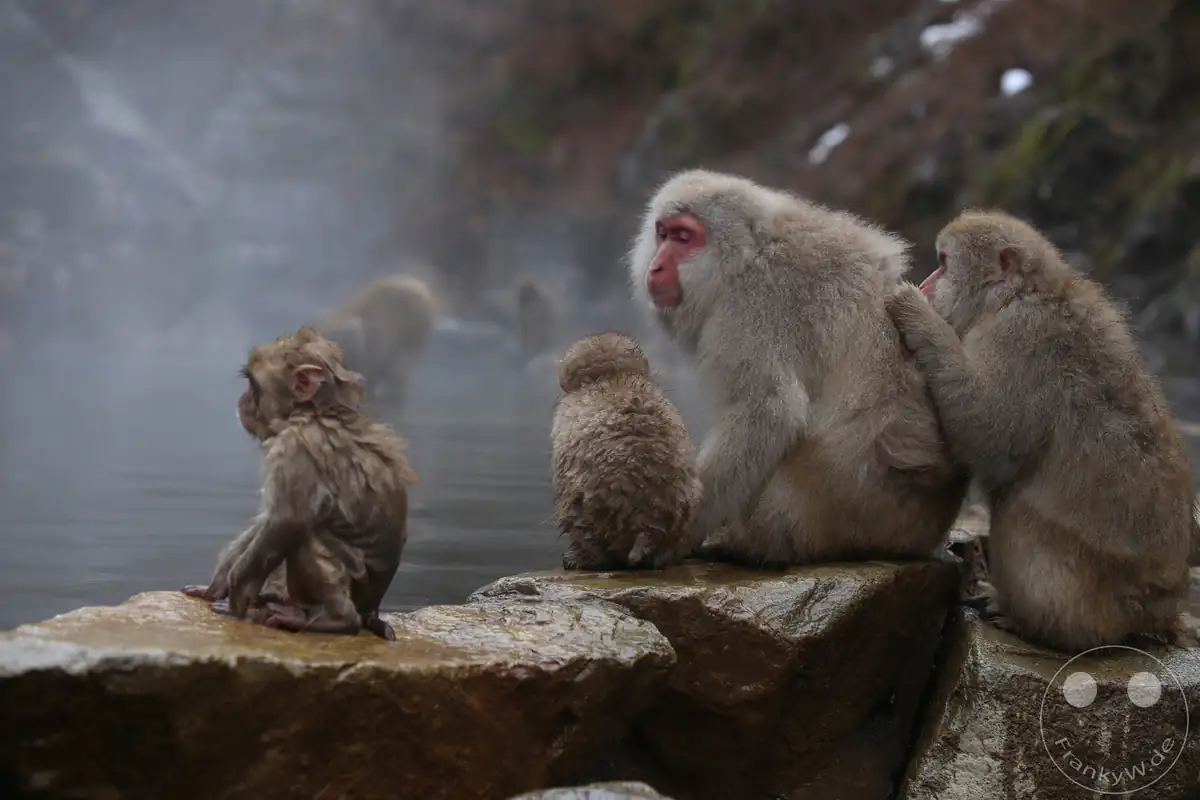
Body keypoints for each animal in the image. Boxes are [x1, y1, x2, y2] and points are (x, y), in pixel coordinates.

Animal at [182, 326, 418, 640]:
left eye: (252, 384)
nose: (242, 399)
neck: (313, 411)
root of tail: (373, 610)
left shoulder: (297, 447)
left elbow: (286, 521)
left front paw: (235, 605)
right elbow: (266, 520)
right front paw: (217, 586)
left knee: (307, 534)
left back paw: (335, 619)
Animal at [628, 169, 969, 568]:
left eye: (684, 238)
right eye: (662, 233)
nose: (657, 266)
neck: (746, 259)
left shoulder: (753, 304)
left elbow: (768, 410)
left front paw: (675, 535)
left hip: (833, 509)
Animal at [885, 210, 1196, 652]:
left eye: (943, 262)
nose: (928, 285)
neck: (1016, 296)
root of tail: (1163, 604)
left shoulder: (1021, 336)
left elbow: (988, 429)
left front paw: (915, 313)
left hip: (1104, 603)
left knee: (1019, 513)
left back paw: (1034, 623)